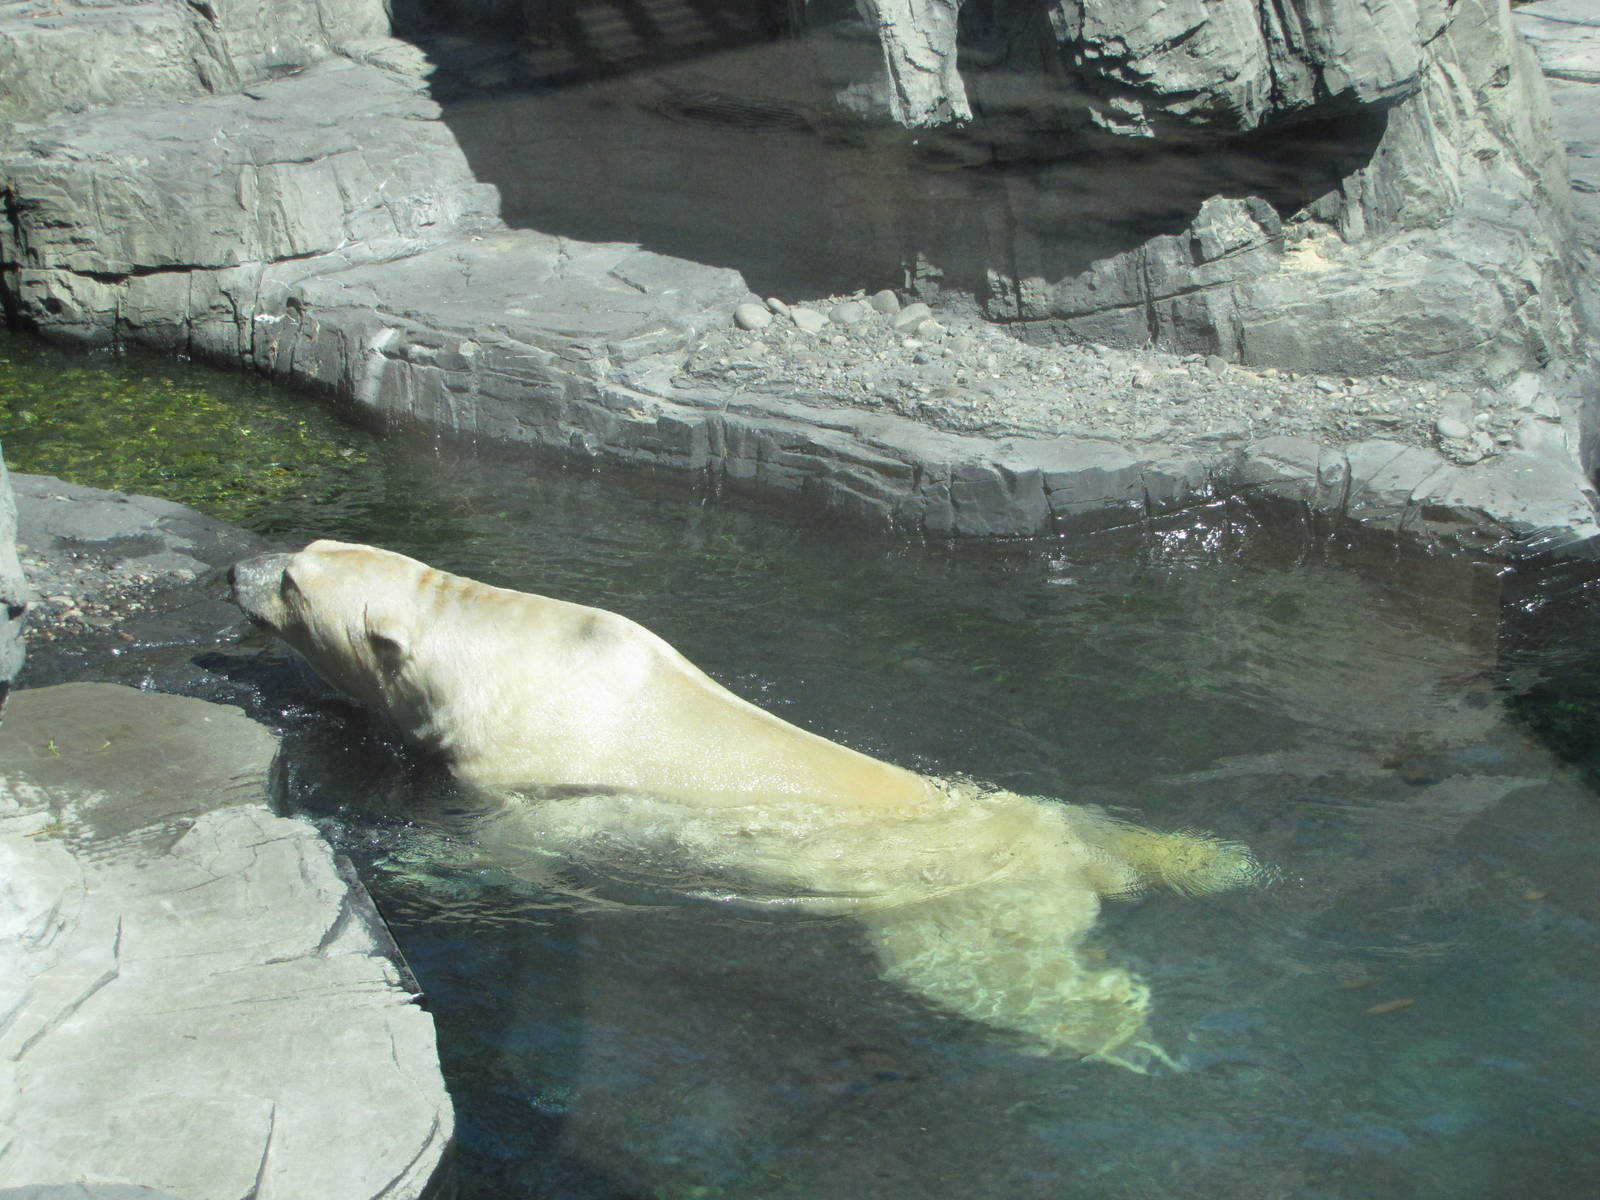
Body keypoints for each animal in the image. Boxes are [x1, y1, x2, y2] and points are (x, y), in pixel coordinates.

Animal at [232, 539, 1266, 1069]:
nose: (234, 569)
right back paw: (1210, 858)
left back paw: (1126, 1038)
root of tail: (1069, 853)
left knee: (998, 978)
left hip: (959, 907)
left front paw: (412, 863)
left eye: (290, 580)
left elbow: (500, 850)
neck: (505, 646)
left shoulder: (528, 777)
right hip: (1044, 811)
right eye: (296, 549)